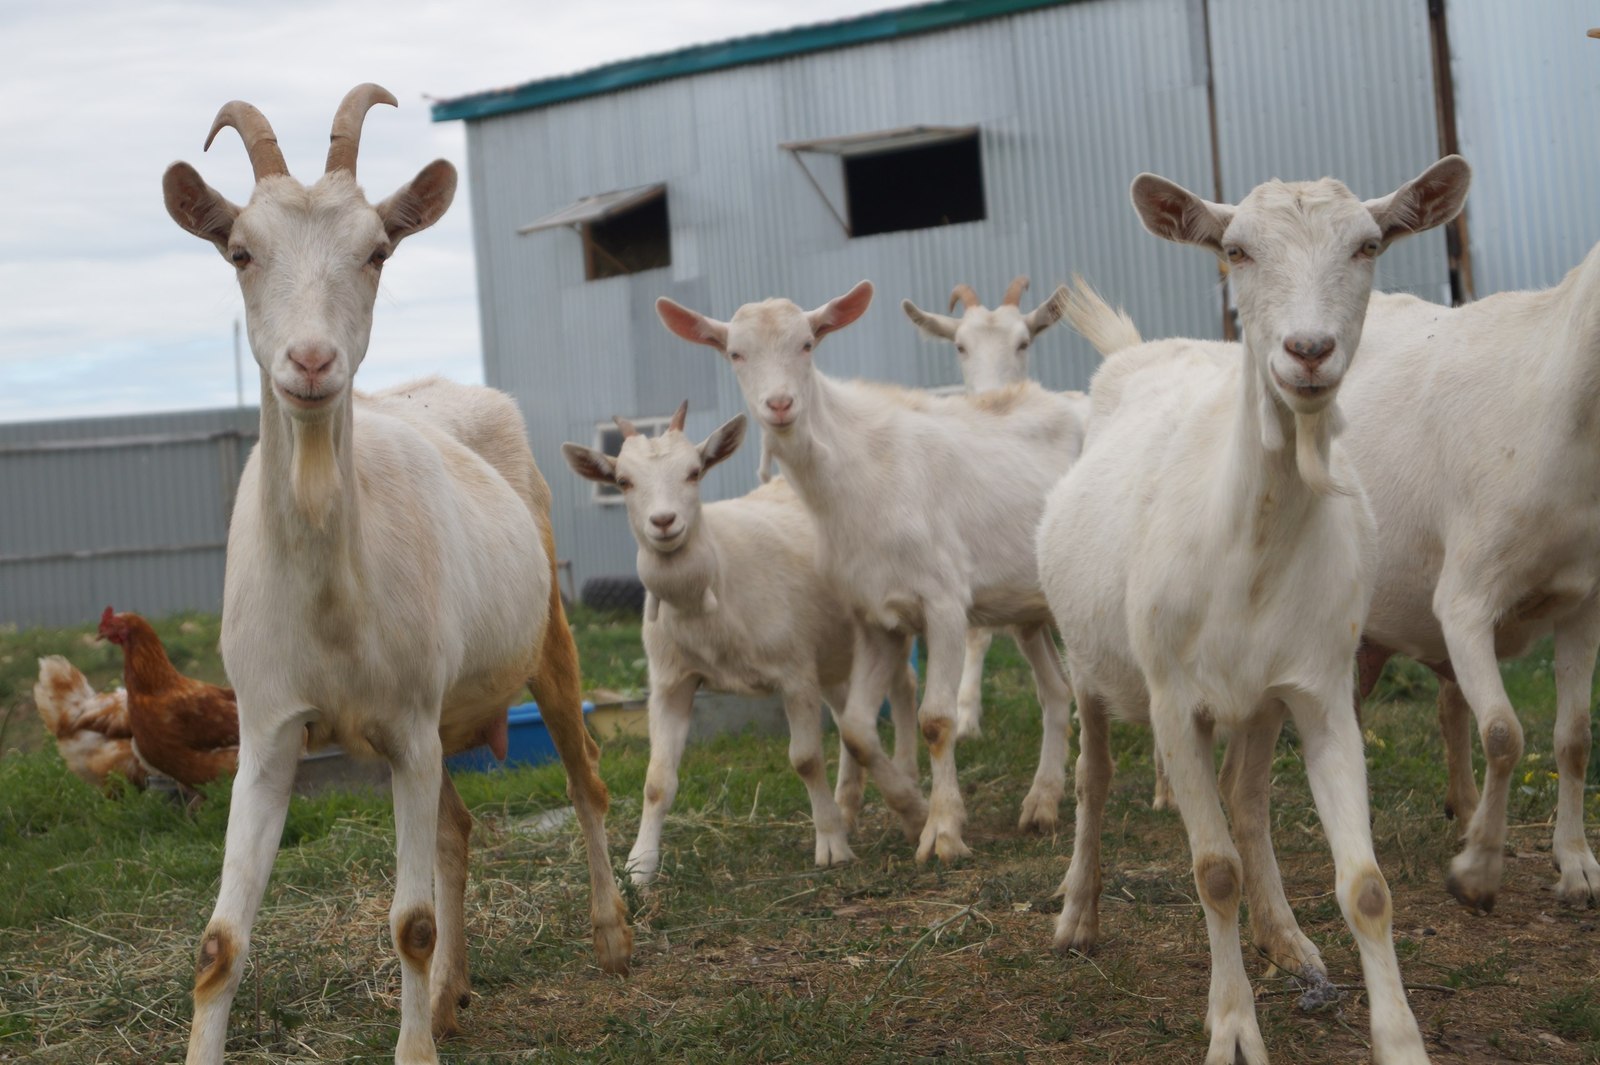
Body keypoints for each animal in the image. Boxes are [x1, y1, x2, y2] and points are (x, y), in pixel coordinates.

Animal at [162, 85, 633, 1061]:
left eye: (377, 249)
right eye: (240, 250)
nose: (310, 362)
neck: (332, 591)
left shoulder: (410, 728)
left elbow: (409, 921)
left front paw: (414, 1041)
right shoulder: (267, 731)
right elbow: (220, 941)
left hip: (545, 640)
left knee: (587, 779)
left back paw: (611, 938)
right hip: (439, 716)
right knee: (456, 827)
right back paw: (451, 994)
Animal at [563, 398, 921, 876]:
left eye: (694, 471)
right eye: (622, 481)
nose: (664, 521)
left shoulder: (793, 671)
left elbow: (806, 760)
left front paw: (830, 845)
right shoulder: (671, 682)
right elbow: (657, 779)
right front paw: (640, 865)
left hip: (884, 617)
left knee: (904, 688)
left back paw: (909, 790)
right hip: (832, 651)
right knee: (848, 717)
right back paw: (850, 806)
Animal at [1036, 159, 1472, 1061]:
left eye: (1369, 244)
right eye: (1235, 250)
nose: (1307, 351)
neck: (1250, 539)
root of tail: (1136, 355)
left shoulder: (1321, 690)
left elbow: (1366, 885)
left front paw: (1400, 1038)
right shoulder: (1174, 701)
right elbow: (1214, 871)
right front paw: (1233, 1027)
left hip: (1259, 699)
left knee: (1247, 800)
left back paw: (1287, 939)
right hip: (1096, 662)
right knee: (1095, 778)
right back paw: (1077, 915)